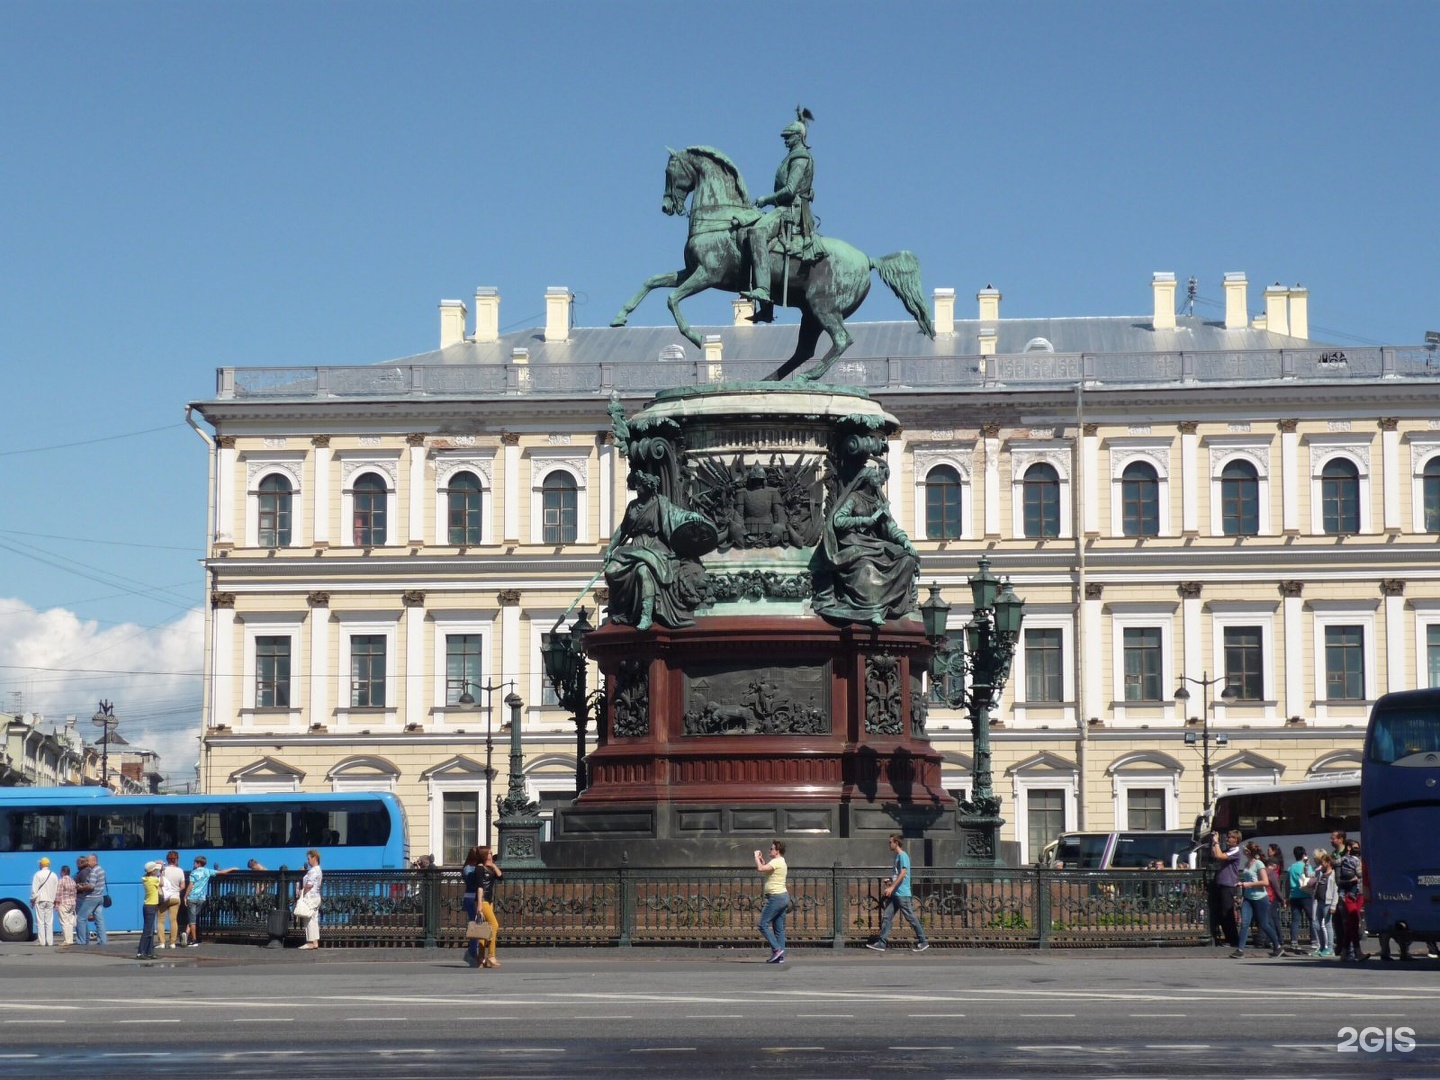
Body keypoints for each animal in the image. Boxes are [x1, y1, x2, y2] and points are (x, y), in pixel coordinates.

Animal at [607, 146, 933, 385]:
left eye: (670, 171)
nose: (666, 206)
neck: (719, 217)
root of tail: (867, 259)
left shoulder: (708, 274)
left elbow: (672, 299)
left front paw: (696, 337)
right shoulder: (690, 271)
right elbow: (652, 281)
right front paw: (620, 316)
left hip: (823, 307)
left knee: (841, 340)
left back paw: (807, 377)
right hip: (810, 314)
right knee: (804, 350)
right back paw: (770, 379)